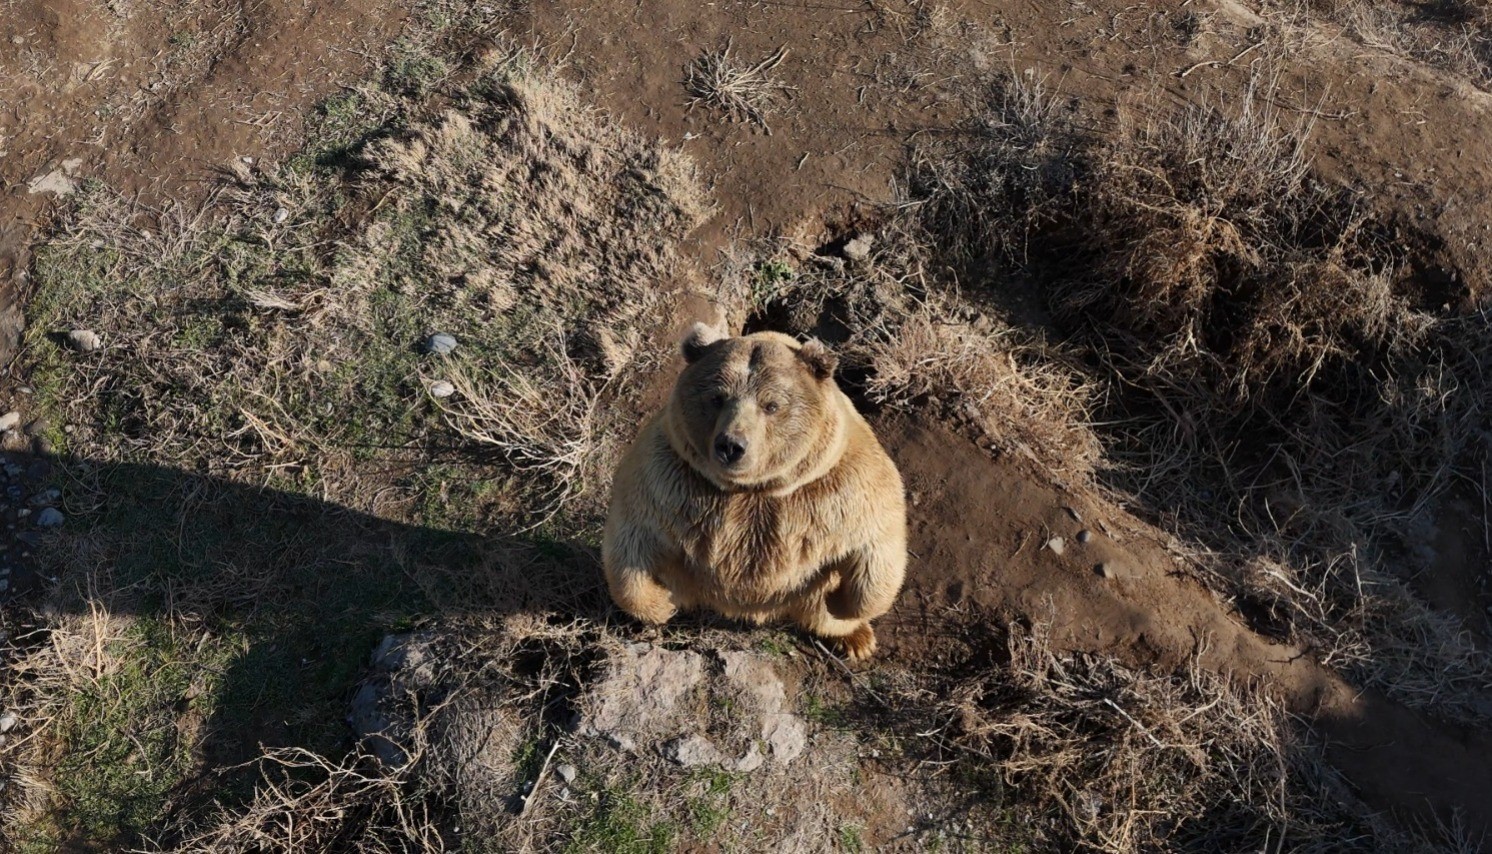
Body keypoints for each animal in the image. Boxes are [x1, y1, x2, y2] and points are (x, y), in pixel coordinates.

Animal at [599, 322, 901, 659]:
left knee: (820, 610)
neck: (755, 489)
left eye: (771, 405)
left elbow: (877, 544)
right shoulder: (668, 481)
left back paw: (857, 639)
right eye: (717, 397)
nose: (731, 445)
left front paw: (843, 605)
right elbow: (630, 544)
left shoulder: (836, 488)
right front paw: (660, 604)